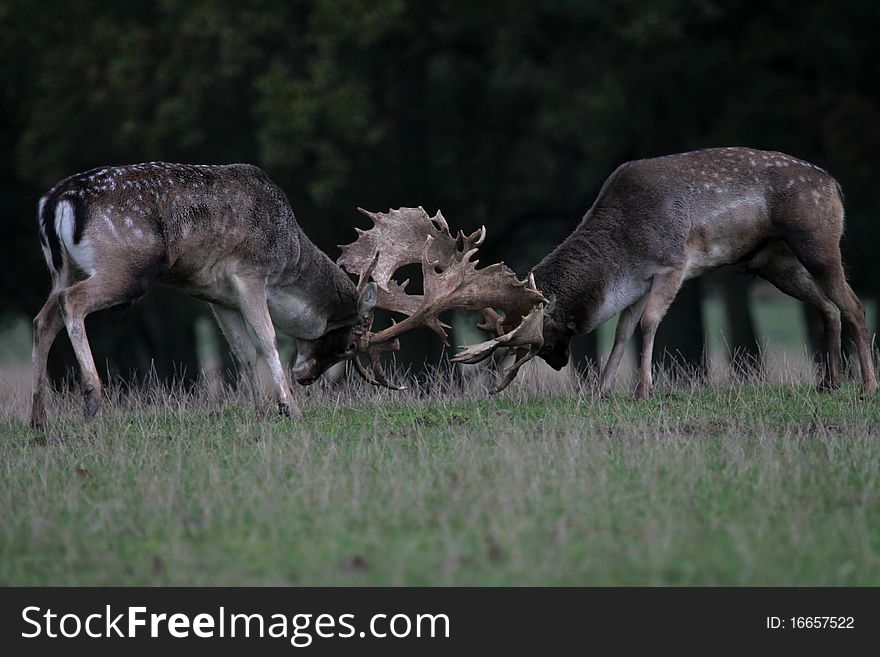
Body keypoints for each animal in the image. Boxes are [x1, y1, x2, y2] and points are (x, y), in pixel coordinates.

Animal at [31, 163, 384, 428]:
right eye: (350, 346)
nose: (306, 378)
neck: (287, 261)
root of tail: (55, 201)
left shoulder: (218, 296)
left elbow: (243, 350)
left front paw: (261, 411)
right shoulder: (250, 272)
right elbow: (267, 337)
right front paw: (290, 408)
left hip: (63, 270)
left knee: (42, 319)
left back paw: (39, 420)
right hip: (125, 267)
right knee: (71, 301)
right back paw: (91, 398)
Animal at [450, 146, 876, 398]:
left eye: (540, 336)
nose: (559, 363)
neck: (624, 252)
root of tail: (836, 187)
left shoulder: (673, 263)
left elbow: (648, 323)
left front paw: (644, 390)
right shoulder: (638, 282)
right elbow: (621, 331)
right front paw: (602, 390)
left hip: (818, 240)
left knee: (854, 305)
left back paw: (868, 385)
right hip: (774, 261)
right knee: (828, 306)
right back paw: (830, 383)